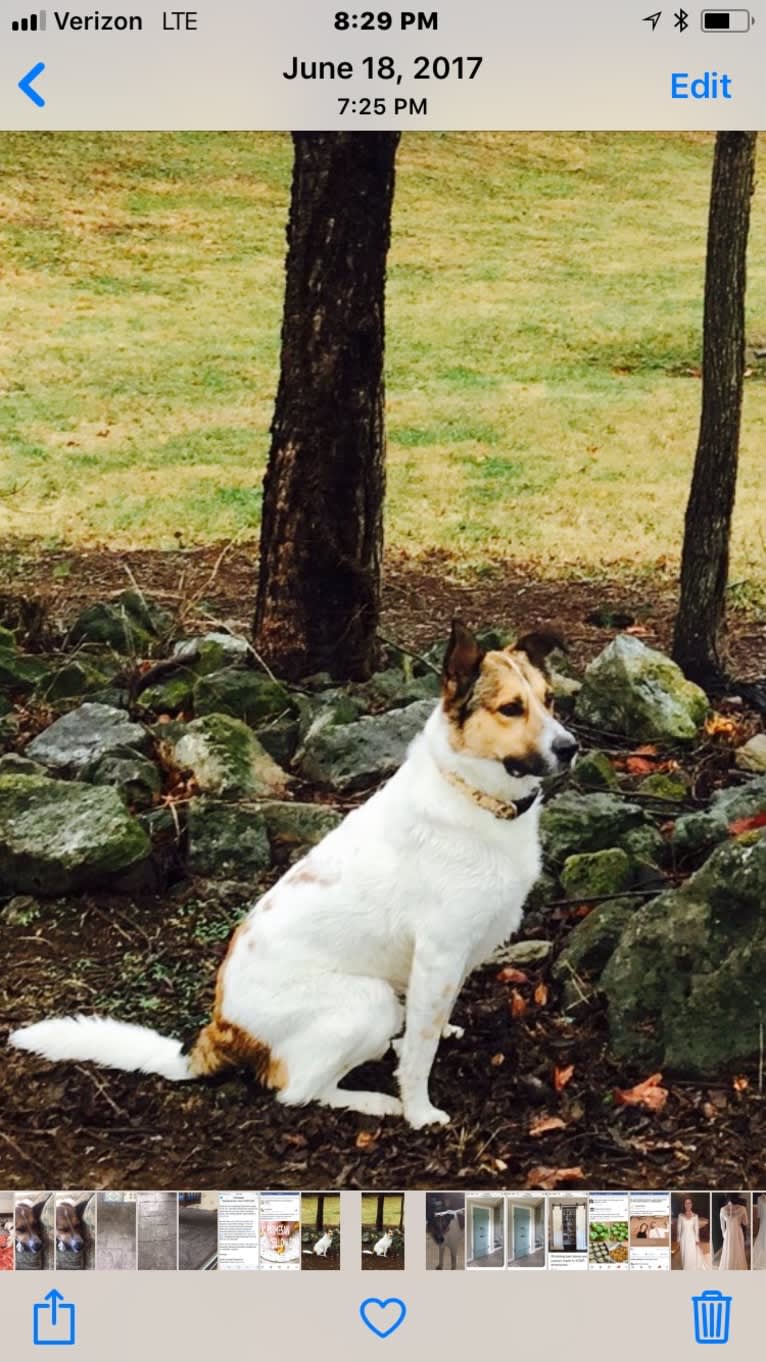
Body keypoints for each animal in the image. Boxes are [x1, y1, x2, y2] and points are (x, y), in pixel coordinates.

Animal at [10, 623, 572, 1133]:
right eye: (511, 708)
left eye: (550, 701)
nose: (570, 747)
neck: (470, 793)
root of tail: (220, 1031)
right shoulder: (440, 952)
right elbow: (419, 1055)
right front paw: (418, 1111)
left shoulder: (454, 957)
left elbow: (428, 1026)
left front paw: (442, 1031)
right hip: (367, 1003)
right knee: (297, 1090)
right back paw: (376, 1102)